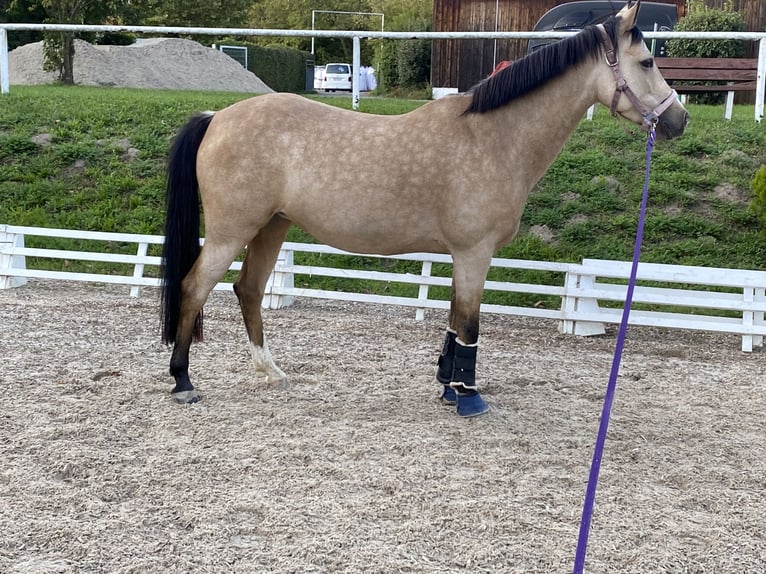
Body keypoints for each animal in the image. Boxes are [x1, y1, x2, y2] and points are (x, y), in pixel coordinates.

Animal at [160, 0, 688, 417]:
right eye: (646, 61)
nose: (678, 120)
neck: (492, 137)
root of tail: (216, 117)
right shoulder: (475, 254)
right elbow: (470, 323)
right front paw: (469, 397)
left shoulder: (462, 256)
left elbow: (453, 321)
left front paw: (448, 386)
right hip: (232, 232)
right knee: (193, 288)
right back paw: (183, 381)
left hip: (271, 227)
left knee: (247, 290)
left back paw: (269, 370)